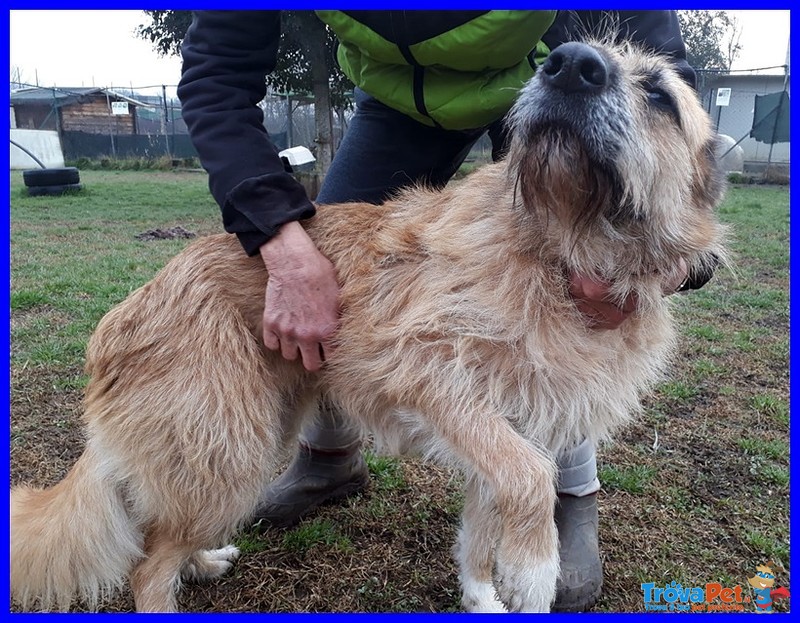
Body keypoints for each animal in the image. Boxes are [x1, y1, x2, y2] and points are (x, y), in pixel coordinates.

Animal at [10, 40, 724, 616]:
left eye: (660, 96)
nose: (567, 62)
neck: (558, 245)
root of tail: (121, 322)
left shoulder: (505, 431)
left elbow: (482, 531)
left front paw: (483, 597)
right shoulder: (432, 375)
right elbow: (529, 480)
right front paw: (534, 570)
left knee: (163, 538)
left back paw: (204, 560)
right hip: (233, 448)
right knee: (146, 566)